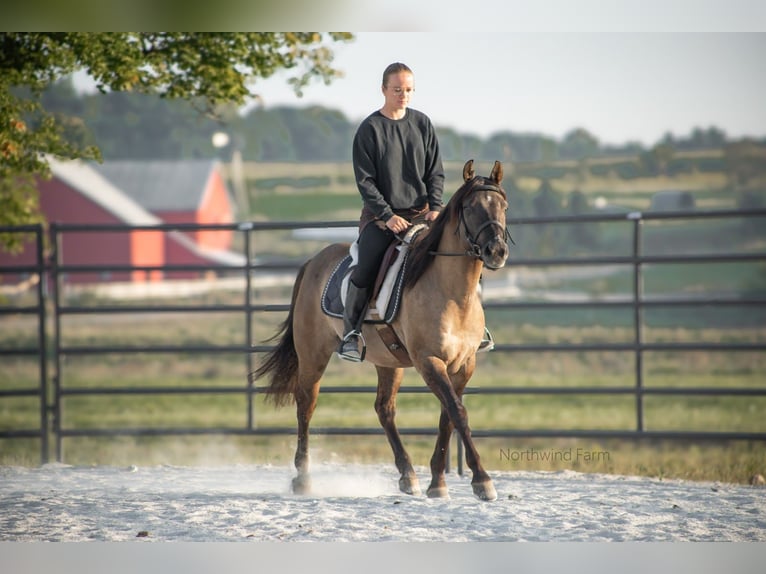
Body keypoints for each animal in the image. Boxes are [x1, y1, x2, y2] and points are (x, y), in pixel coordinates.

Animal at [255, 160, 512, 502]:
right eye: (470, 208)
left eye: (503, 206)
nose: (496, 251)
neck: (452, 293)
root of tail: (313, 262)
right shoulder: (429, 361)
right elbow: (458, 413)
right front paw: (482, 481)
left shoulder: (463, 365)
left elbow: (447, 417)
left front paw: (437, 482)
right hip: (313, 356)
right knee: (306, 405)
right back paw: (303, 480)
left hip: (388, 362)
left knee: (384, 409)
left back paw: (407, 475)